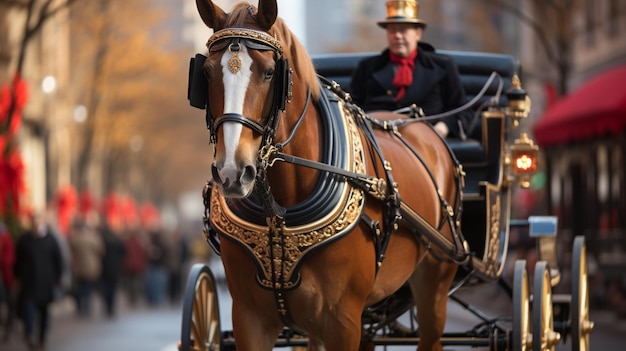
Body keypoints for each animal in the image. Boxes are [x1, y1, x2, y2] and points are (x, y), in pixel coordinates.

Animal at [195, 0, 464, 351]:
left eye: (269, 72)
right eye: (207, 72)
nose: (232, 171)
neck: (278, 212)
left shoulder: (342, 321)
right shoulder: (249, 319)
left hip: (435, 284)